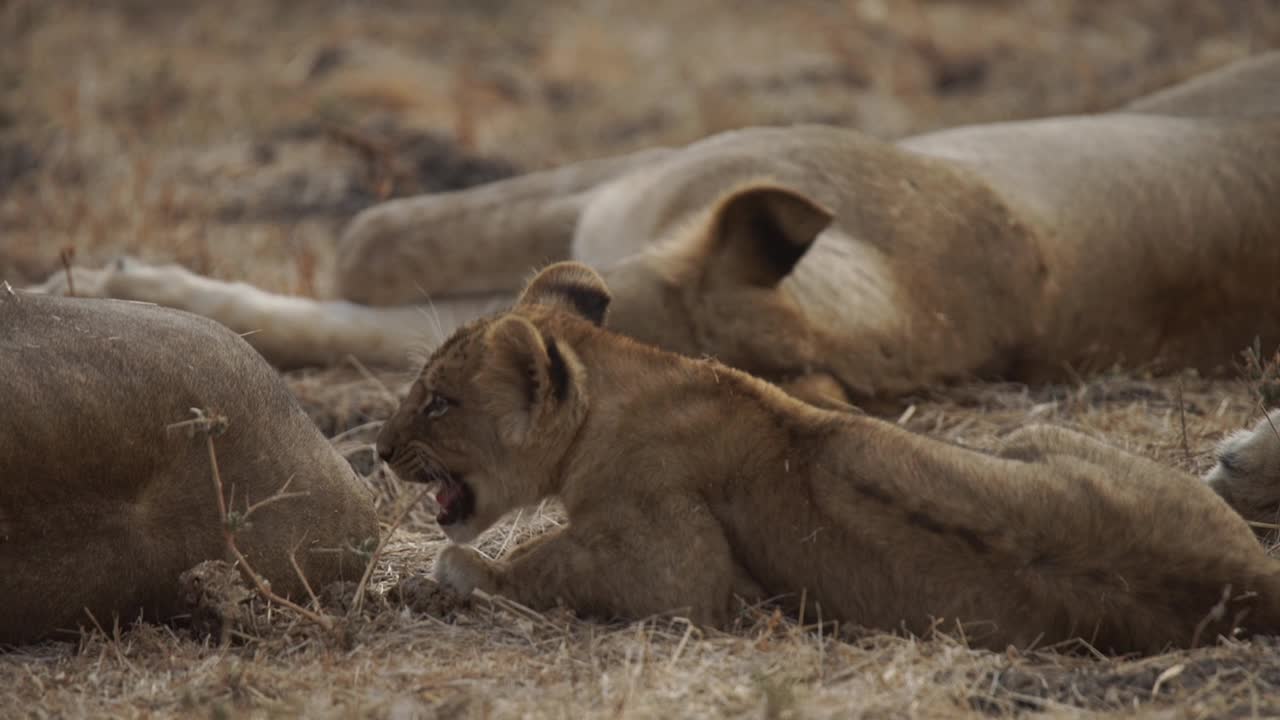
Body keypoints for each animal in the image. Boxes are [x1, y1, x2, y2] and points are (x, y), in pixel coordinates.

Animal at [373, 265, 1280, 655]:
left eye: (439, 402)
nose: (378, 451)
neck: (623, 387)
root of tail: (1248, 583)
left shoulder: (675, 570)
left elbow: (546, 560)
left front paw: (458, 573)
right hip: (1040, 441)